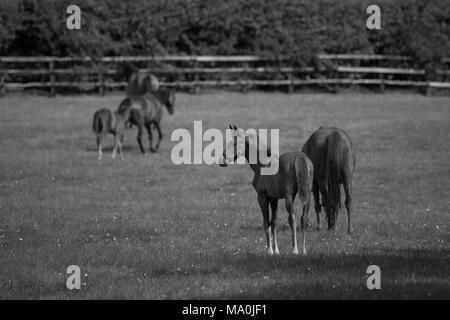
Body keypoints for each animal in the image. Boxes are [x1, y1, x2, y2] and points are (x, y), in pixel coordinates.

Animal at [219, 125, 312, 255]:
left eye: (235, 142)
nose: (221, 161)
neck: (261, 166)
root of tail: (299, 157)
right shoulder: (274, 199)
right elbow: (274, 223)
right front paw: (277, 251)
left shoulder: (262, 198)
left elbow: (266, 223)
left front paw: (270, 251)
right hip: (307, 194)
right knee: (304, 218)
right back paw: (304, 250)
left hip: (289, 197)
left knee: (292, 218)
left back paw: (295, 250)